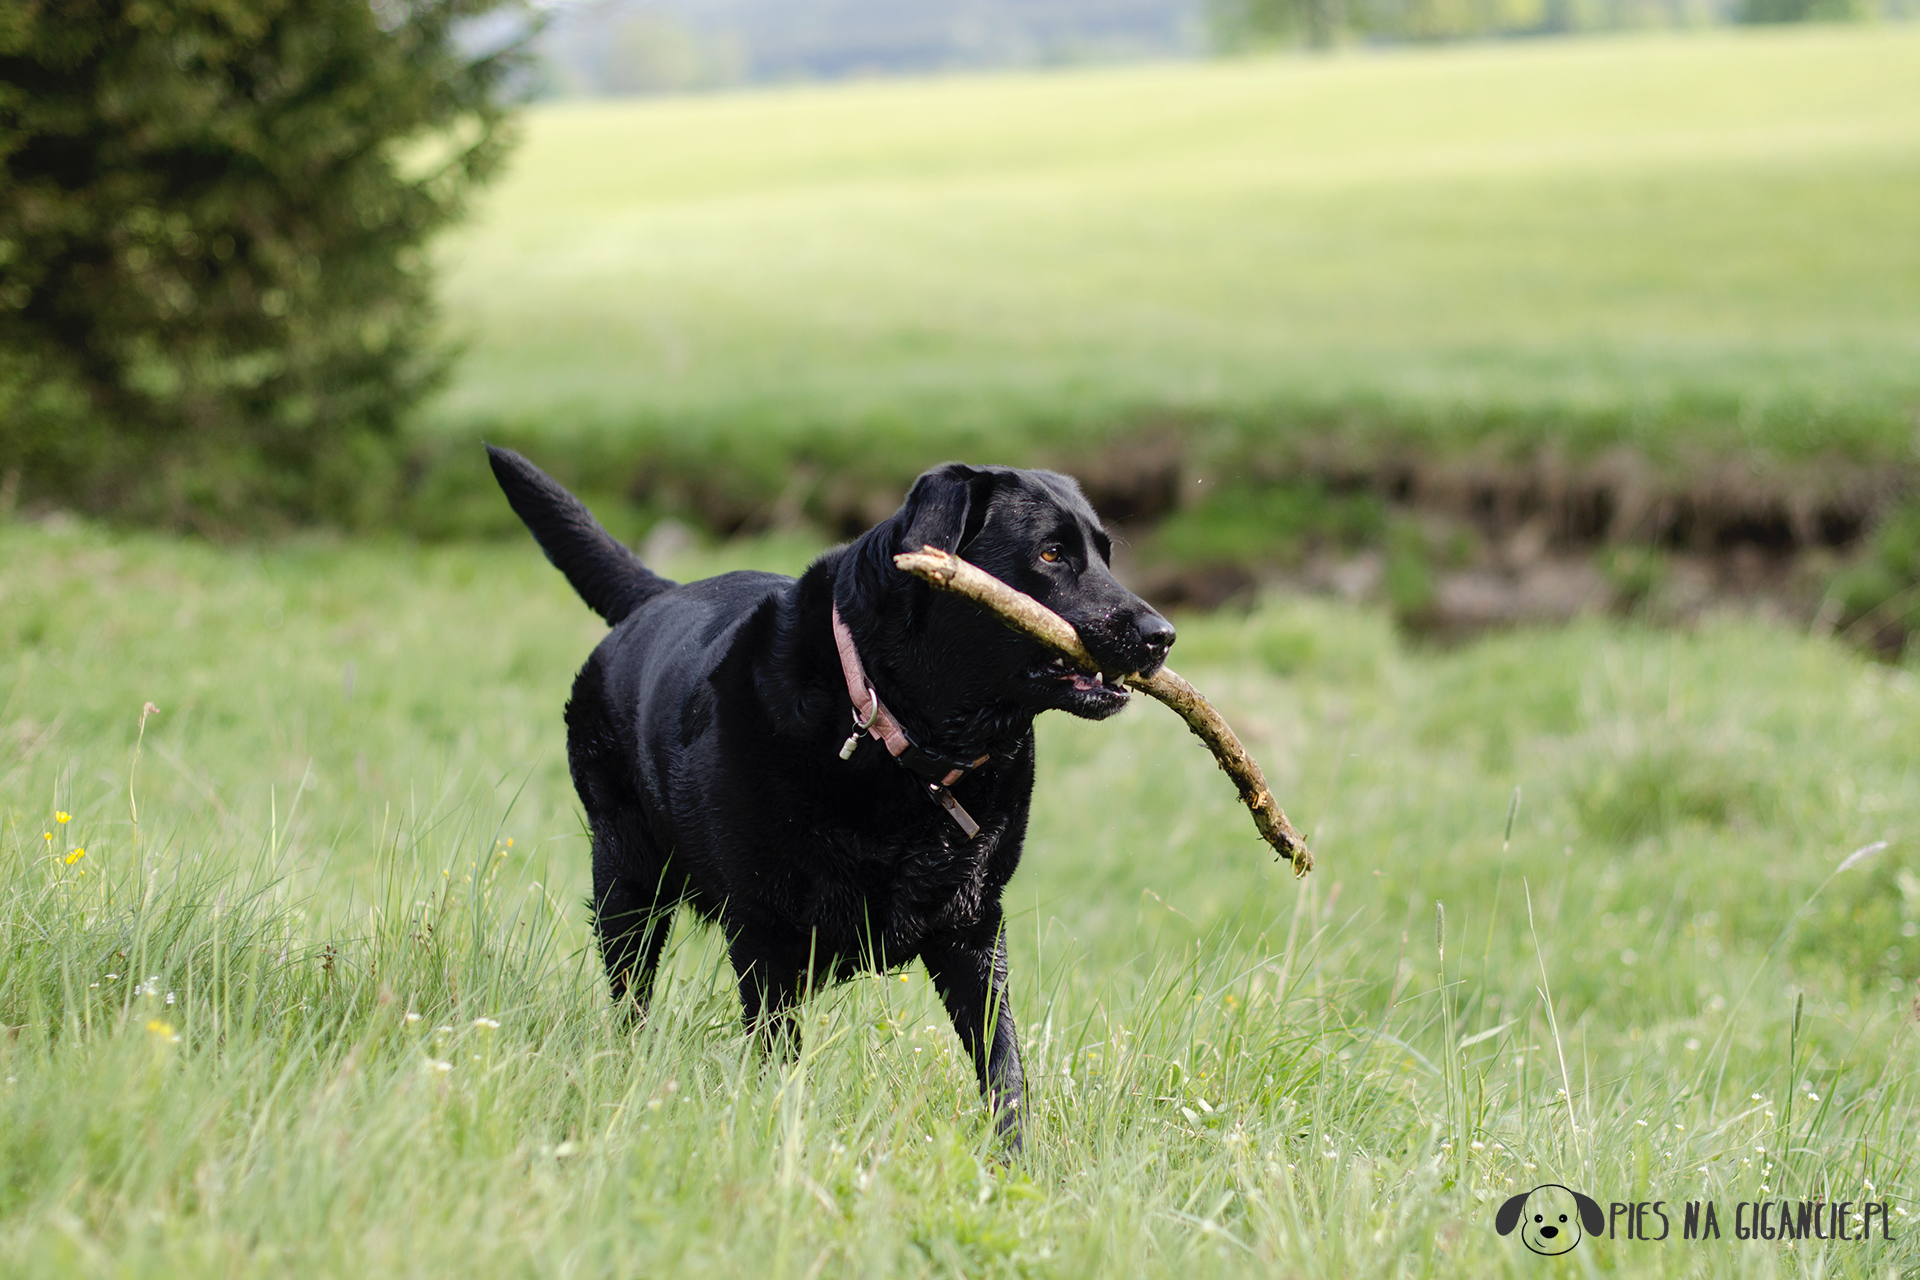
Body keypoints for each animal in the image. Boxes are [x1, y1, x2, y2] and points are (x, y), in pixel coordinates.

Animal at [483, 445, 1167, 1143]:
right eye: (1051, 553)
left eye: (1106, 555)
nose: (1161, 635)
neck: (903, 740)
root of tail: (661, 594)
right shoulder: (766, 932)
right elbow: (779, 1054)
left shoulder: (974, 929)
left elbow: (1002, 1065)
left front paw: (1014, 1161)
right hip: (627, 877)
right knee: (631, 990)